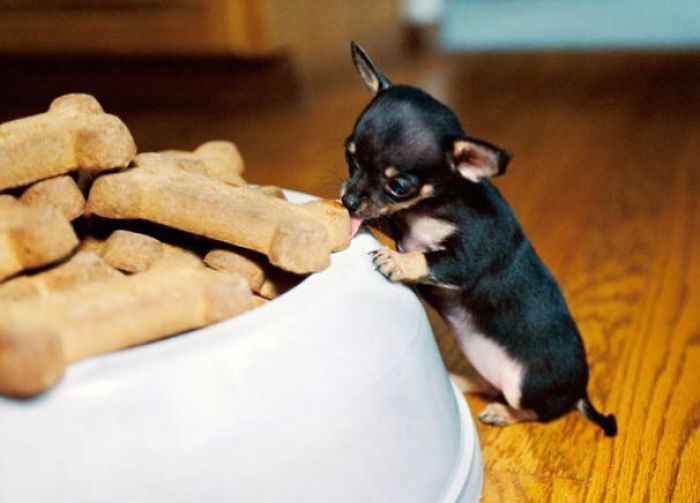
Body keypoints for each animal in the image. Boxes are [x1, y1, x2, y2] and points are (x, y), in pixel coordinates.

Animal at [342, 42, 616, 438]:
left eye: (399, 186)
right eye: (349, 158)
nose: (347, 200)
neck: (437, 203)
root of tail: (579, 393)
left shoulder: (468, 254)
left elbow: (428, 258)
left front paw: (397, 261)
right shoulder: (403, 223)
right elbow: (390, 223)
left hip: (525, 385)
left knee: (534, 410)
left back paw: (502, 412)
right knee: (490, 383)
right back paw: (461, 379)